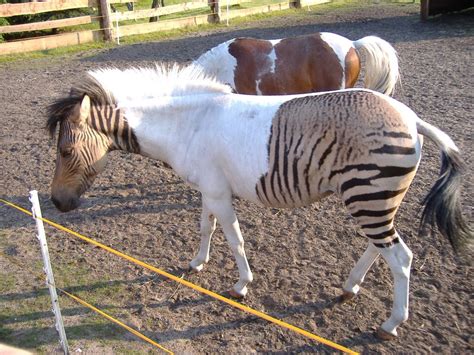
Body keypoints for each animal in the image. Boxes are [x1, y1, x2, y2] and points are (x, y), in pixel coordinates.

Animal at [47, 63, 470, 340]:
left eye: (65, 151)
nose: (56, 203)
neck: (187, 125)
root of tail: (411, 118)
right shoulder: (210, 189)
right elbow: (206, 228)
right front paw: (197, 264)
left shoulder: (219, 193)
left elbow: (234, 239)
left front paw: (241, 286)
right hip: (374, 198)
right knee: (379, 247)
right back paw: (350, 287)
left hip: (368, 195)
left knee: (400, 257)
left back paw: (391, 324)